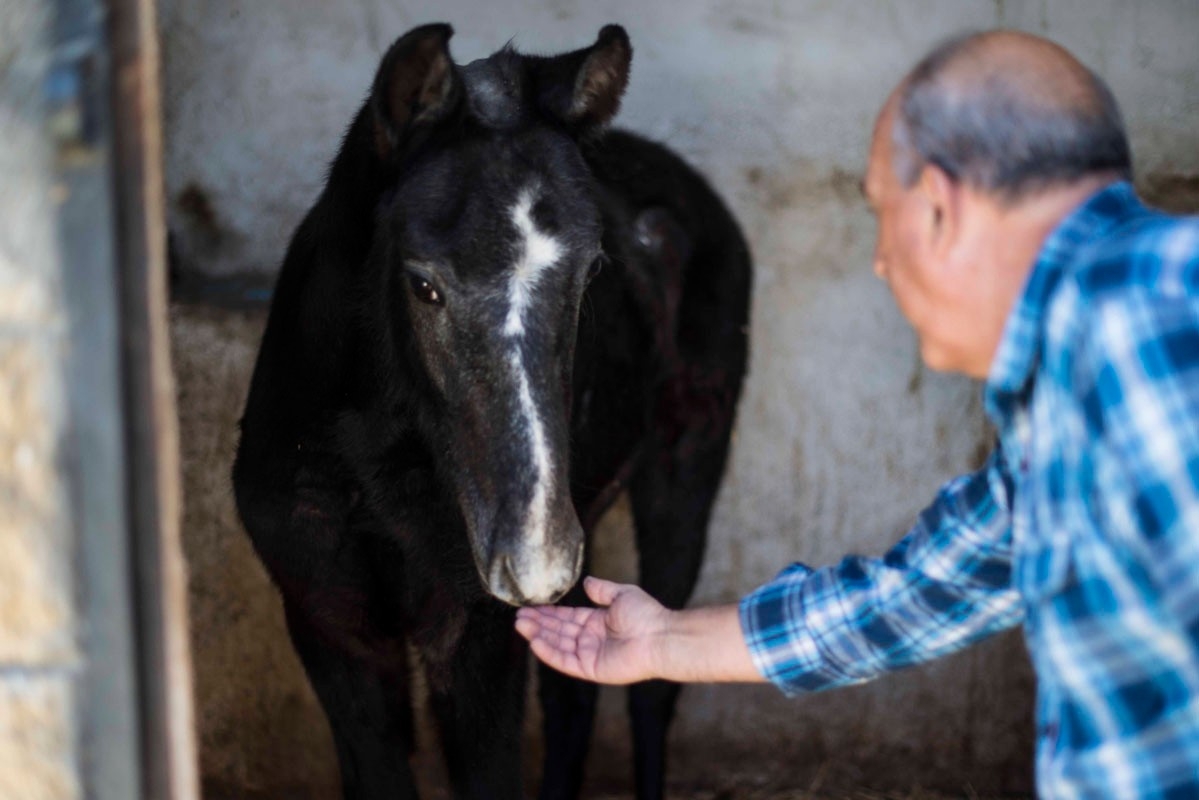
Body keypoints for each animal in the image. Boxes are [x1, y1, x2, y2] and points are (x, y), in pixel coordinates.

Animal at [232, 22, 751, 800]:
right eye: (423, 285)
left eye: (592, 273)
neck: (370, 458)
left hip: (683, 465)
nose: (536, 558)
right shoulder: (331, 624)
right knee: (576, 694)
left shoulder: (475, 635)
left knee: (652, 685)